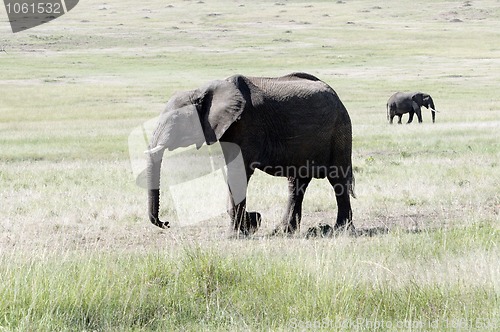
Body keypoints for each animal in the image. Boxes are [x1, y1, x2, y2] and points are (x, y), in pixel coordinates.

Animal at [145, 72, 356, 236]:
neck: (201, 92)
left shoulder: (246, 125)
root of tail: (336, 94)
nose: (166, 223)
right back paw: (283, 231)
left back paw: (341, 230)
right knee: (297, 183)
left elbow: (239, 171)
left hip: (340, 129)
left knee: (337, 180)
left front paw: (235, 234)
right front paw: (247, 225)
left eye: (175, 119)